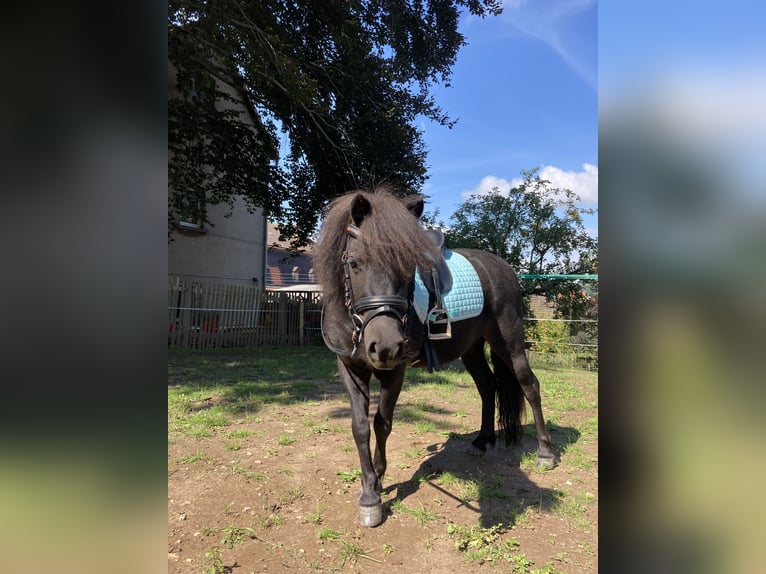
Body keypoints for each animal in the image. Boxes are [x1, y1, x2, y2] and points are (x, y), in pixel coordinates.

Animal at [316, 191, 556, 528]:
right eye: (354, 263)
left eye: (408, 266)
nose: (385, 345)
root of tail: (503, 267)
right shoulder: (350, 369)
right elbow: (360, 426)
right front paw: (369, 491)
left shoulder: (395, 371)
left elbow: (382, 423)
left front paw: (377, 483)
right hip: (471, 349)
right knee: (488, 386)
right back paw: (482, 441)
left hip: (509, 342)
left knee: (529, 385)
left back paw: (545, 452)